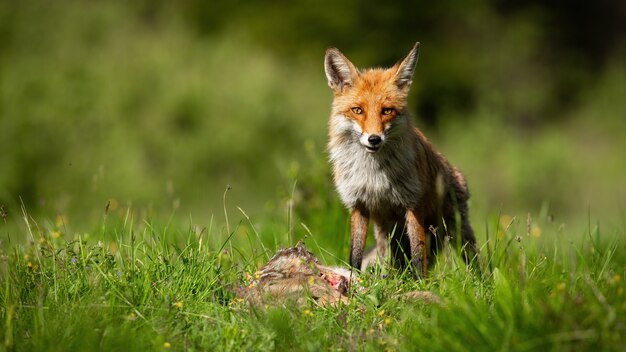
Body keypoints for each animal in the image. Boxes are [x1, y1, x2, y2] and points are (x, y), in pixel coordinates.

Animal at [324, 43, 476, 276]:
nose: (374, 139)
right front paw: (353, 278)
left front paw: (421, 282)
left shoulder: (413, 204)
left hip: (457, 230)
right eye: (357, 110)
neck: (373, 175)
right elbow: (355, 255)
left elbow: (418, 256)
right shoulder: (358, 204)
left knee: (475, 261)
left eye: (387, 111)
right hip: (386, 234)